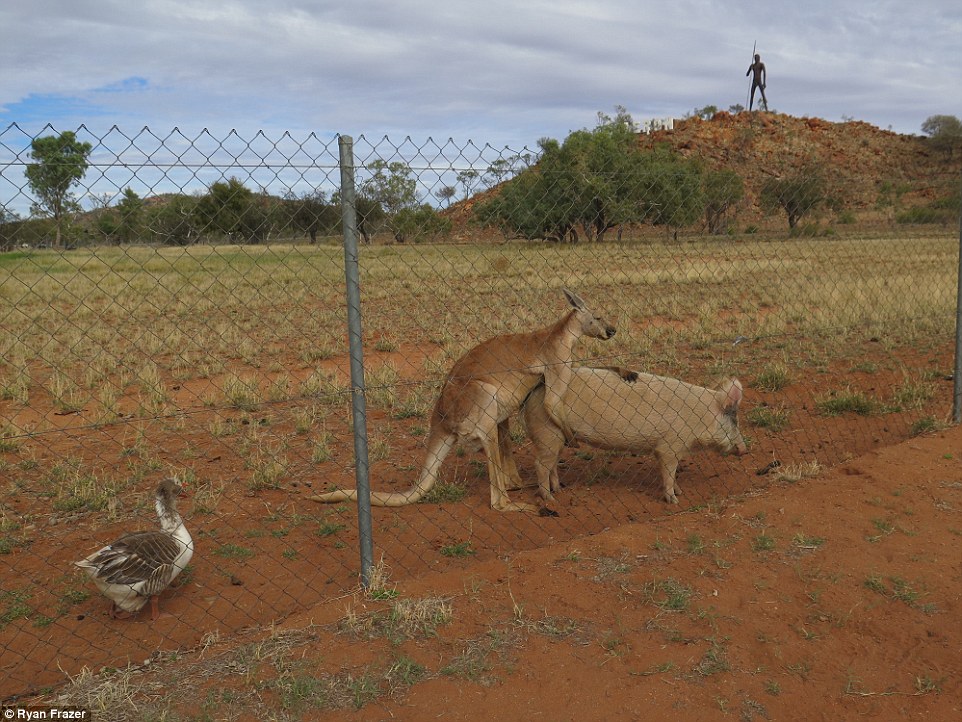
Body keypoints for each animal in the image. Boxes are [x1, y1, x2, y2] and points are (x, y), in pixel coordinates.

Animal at [520, 366, 748, 500]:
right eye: (734, 420)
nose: (745, 449)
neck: (700, 417)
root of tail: (535, 390)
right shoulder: (670, 445)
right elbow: (669, 471)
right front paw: (674, 499)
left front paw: (680, 492)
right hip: (546, 430)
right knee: (540, 464)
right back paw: (549, 498)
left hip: (557, 435)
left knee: (551, 464)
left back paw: (558, 489)